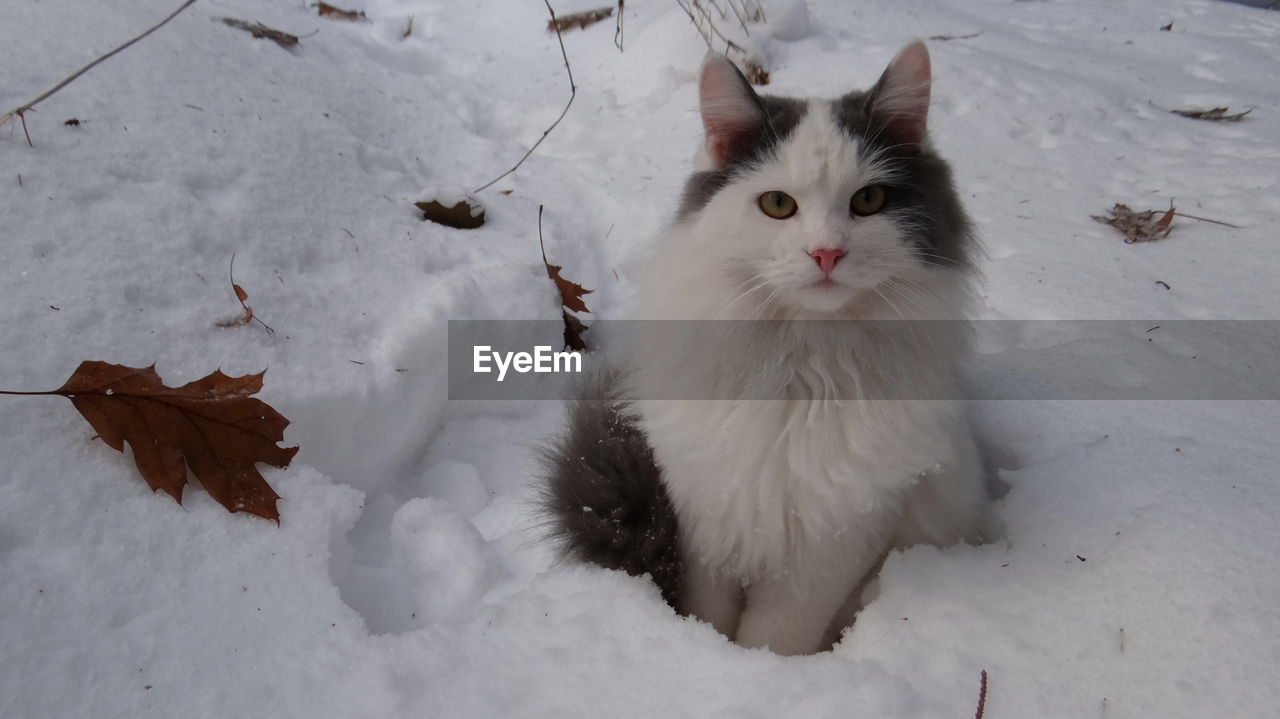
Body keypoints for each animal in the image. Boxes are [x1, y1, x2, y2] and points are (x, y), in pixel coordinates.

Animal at [540, 40, 988, 655]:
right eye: (778, 204)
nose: (826, 253)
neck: (800, 371)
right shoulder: (709, 506)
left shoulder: (843, 530)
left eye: (869, 200)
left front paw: (756, 668)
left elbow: (778, 632)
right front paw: (707, 649)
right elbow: (710, 607)